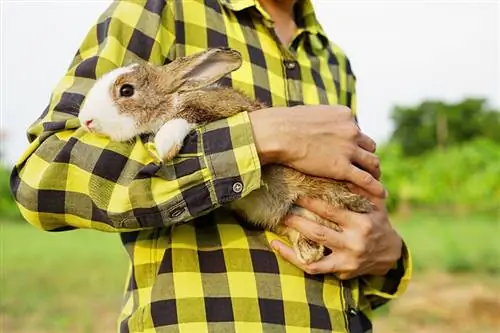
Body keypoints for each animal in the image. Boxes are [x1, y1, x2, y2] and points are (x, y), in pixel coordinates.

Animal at [78, 47, 374, 264]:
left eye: (126, 90)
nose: (86, 121)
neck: (173, 98)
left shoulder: (218, 108)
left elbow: (187, 116)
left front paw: (164, 145)